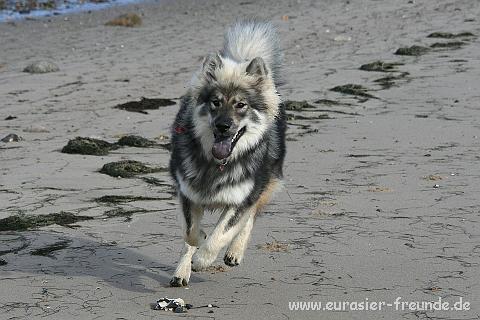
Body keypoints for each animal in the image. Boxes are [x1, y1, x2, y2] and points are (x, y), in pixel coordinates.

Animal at [169, 18, 284, 286]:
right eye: (216, 102)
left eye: (241, 105)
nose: (223, 126)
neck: (217, 163)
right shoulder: (187, 193)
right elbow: (190, 233)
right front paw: (196, 245)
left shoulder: (242, 198)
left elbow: (222, 233)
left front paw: (202, 259)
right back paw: (181, 271)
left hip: (266, 181)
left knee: (250, 217)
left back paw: (234, 252)